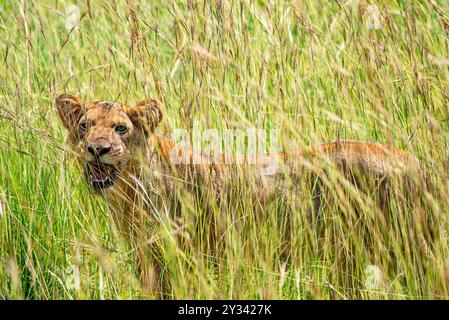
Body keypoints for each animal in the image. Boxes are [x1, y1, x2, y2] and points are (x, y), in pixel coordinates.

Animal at [54, 92, 422, 298]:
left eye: (120, 128)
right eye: (85, 126)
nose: (97, 149)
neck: (127, 193)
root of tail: (412, 160)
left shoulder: (183, 260)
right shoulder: (149, 261)